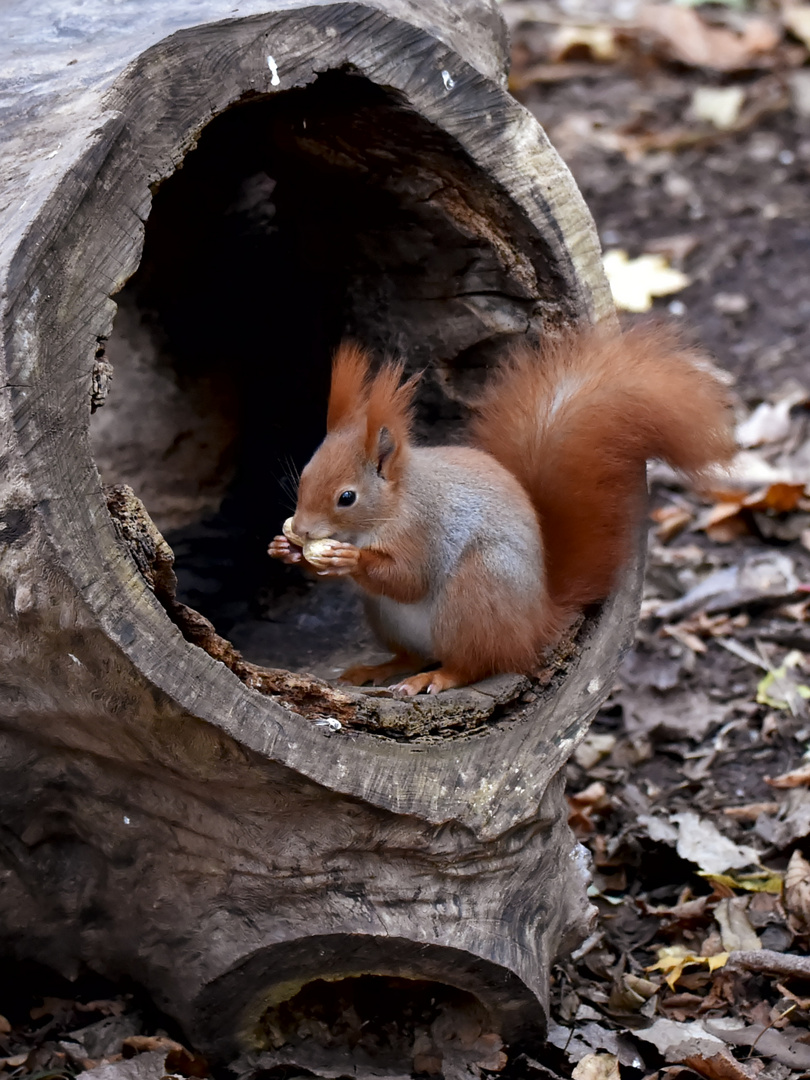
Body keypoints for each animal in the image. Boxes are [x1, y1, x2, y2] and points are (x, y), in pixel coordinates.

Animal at [271, 324, 734, 695]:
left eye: (346, 497)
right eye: (306, 474)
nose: (305, 530)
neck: (394, 506)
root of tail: (534, 623)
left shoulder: (425, 530)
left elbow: (409, 578)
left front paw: (350, 559)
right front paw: (286, 550)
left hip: (476, 592)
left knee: (473, 665)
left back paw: (435, 678)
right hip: (390, 618)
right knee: (412, 655)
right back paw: (377, 669)